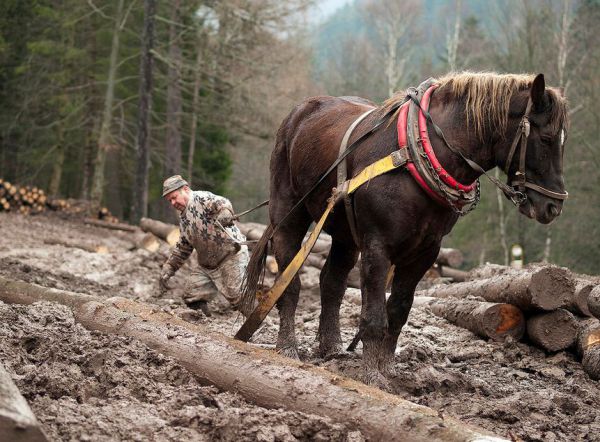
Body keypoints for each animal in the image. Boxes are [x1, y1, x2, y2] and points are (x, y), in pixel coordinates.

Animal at [243, 72, 568, 386]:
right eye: (547, 138)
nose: (553, 207)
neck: (417, 152)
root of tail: (300, 113)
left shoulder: (426, 251)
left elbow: (398, 309)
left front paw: (386, 367)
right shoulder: (377, 247)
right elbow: (374, 317)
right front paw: (372, 376)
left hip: (346, 234)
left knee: (331, 282)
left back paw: (332, 348)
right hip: (289, 213)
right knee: (289, 280)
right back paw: (287, 347)